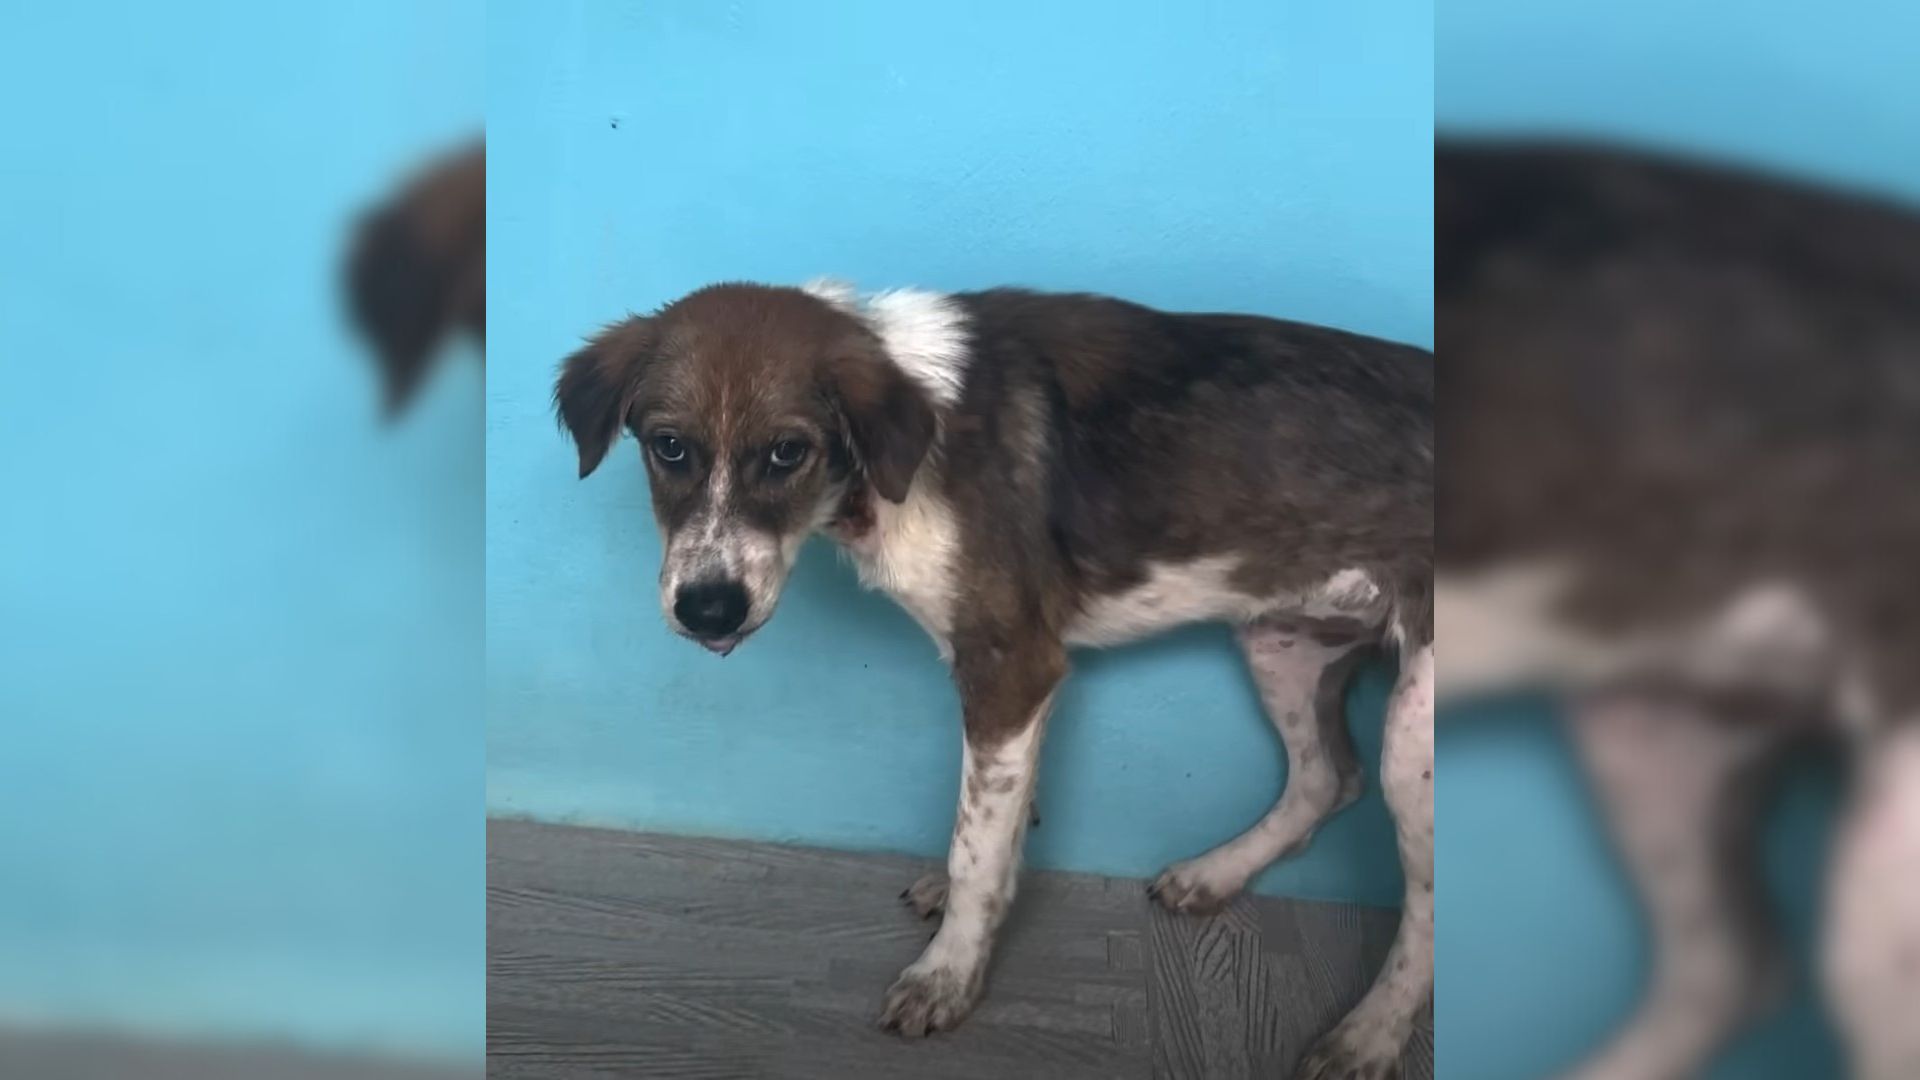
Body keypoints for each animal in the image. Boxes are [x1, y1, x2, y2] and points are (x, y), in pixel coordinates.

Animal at [552, 278, 1428, 1076]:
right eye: (668, 446)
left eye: (788, 452)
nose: (708, 610)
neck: (893, 459)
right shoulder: (1016, 689)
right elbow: (1000, 819)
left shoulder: (1012, 665)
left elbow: (975, 845)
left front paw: (947, 973)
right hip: (1282, 642)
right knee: (1326, 778)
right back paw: (1217, 872)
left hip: (1410, 737)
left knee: (1420, 897)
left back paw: (1370, 1034)